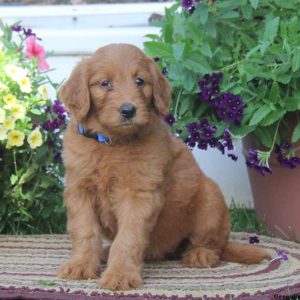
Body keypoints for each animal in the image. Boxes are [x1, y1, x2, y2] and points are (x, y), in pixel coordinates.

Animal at [57, 43, 270, 290]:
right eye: (105, 83)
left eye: (140, 81)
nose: (129, 110)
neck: (111, 143)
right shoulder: (79, 190)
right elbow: (84, 232)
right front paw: (81, 265)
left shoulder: (139, 194)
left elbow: (128, 238)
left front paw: (121, 274)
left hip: (211, 199)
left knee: (212, 244)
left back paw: (200, 254)